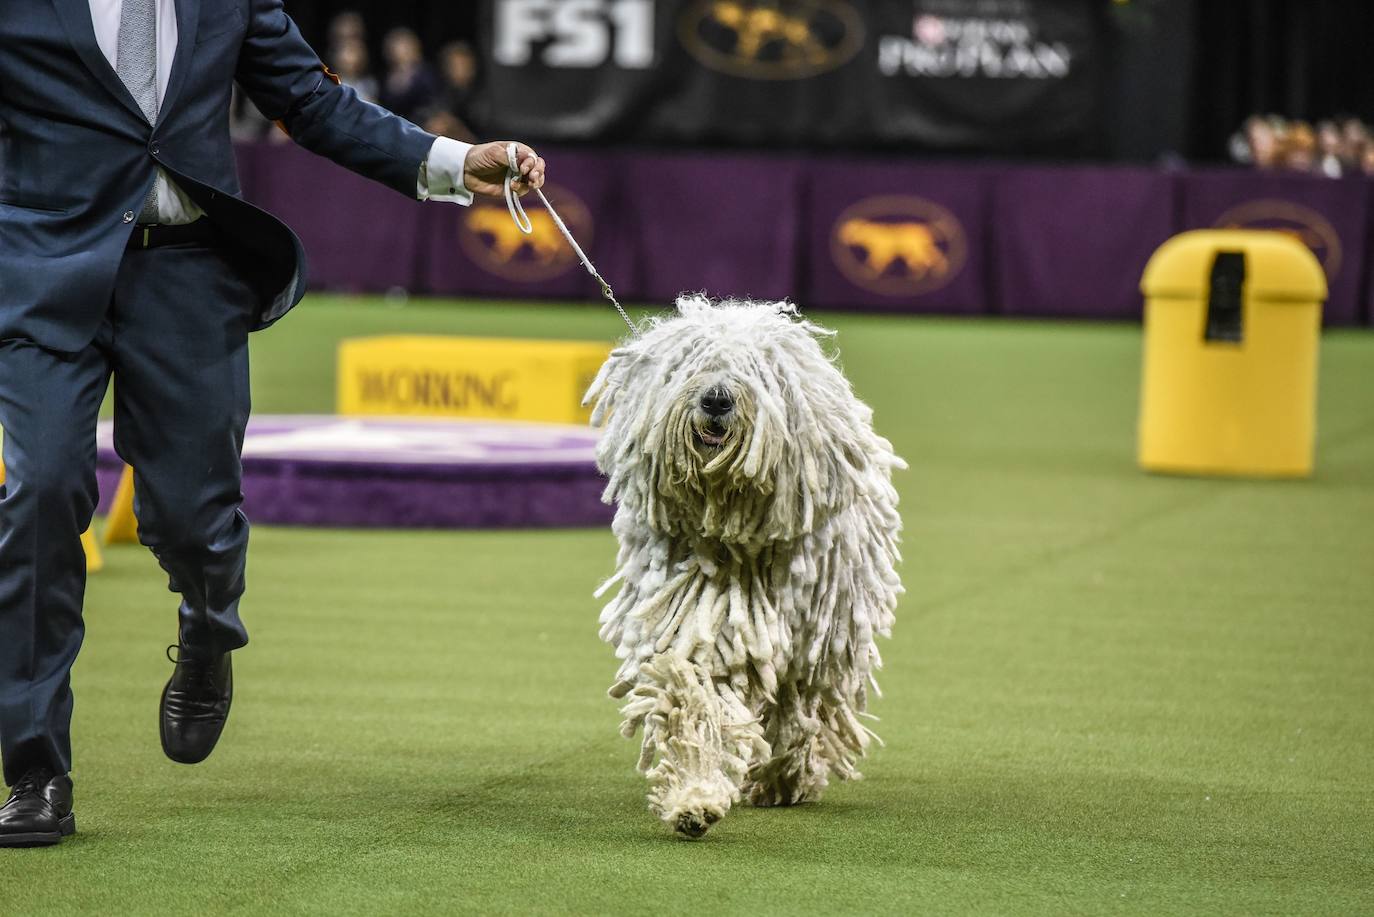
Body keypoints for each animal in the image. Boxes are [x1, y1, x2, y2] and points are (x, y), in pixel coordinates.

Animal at [585, 299, 906, 841]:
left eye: (757, 371)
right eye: (691, 363)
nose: (716, 399)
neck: (729, 522)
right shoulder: (693, 616)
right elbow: (694, 696)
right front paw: (694, 798)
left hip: (829, 633)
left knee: (803, 706)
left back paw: (784, 776)